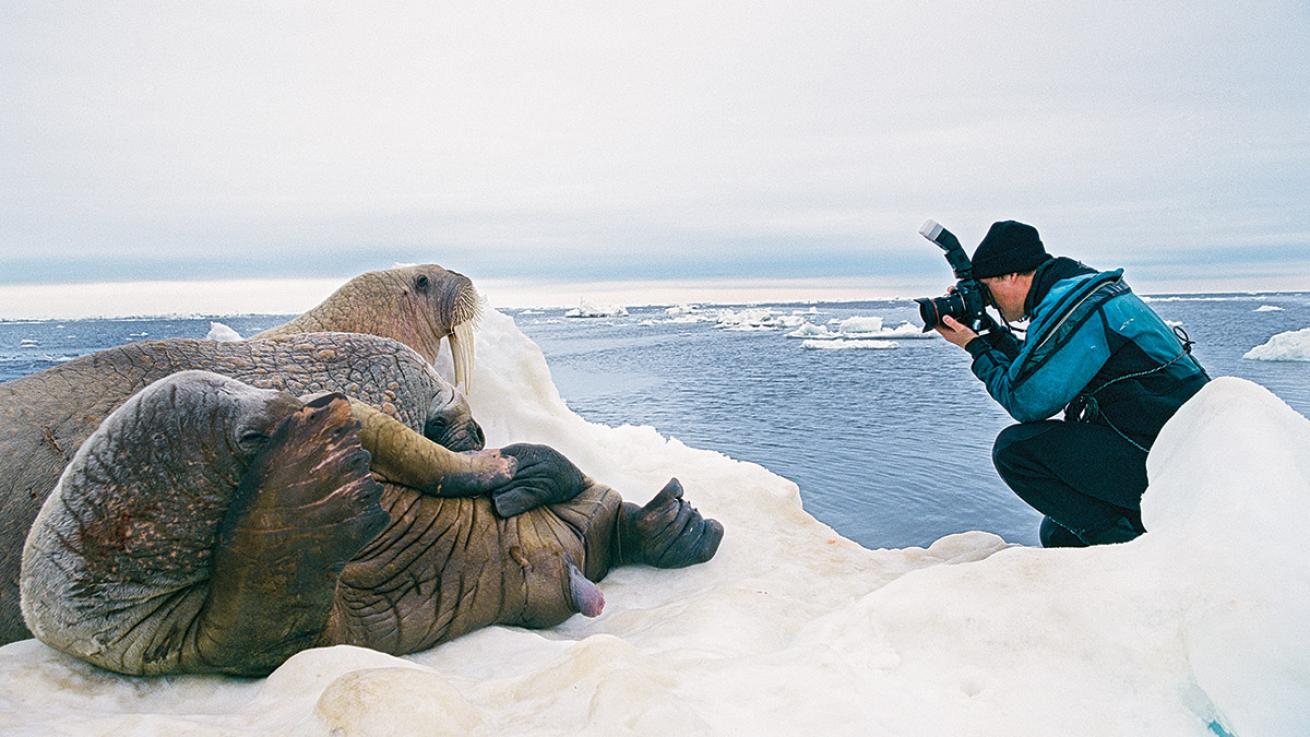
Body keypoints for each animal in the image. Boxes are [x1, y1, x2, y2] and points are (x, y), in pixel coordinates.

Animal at [20, 371, 723, 675]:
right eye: (250, 436)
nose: (322, 405)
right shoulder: (204, 641)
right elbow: (265, 593)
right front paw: (326, 469)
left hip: (586, 498)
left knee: (593, 494)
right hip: (591, 544)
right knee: (610, 533)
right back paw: (676, 525)